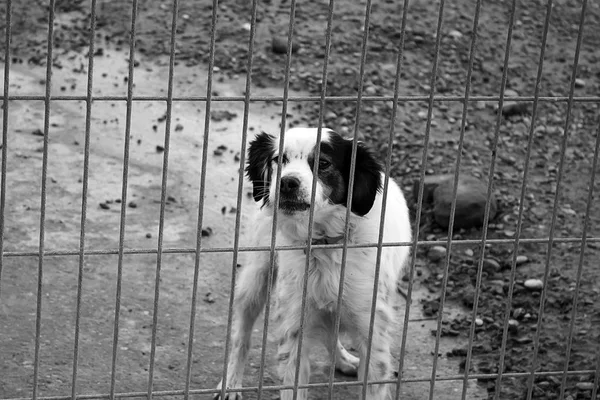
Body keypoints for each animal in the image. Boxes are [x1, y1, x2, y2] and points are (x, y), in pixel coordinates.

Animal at [217, 126, 412, 398]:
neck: (324, 245)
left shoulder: (372, 330)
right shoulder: (294, 327)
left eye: (324, 163)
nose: (287, 182)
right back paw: (231, 383)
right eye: (279, 159)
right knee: (241, 336)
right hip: (256, 277)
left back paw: (343, 360)